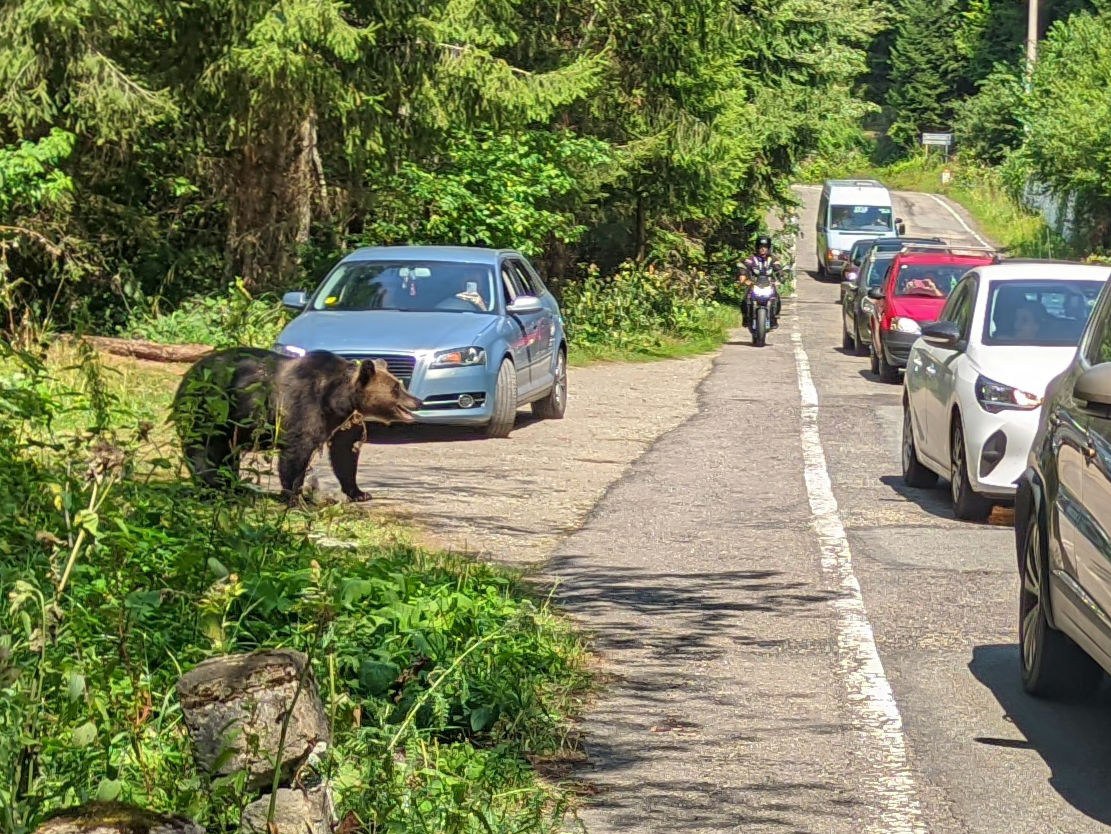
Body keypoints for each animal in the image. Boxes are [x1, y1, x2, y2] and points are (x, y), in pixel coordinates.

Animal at [173, 346, 419, 501]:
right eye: (396, 388)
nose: (416, 400)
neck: (337, 398)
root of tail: (189, 374)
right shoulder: (304, 406)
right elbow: (297, 451)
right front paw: (295, 496)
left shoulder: (342, 421)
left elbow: (345, 453)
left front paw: (359, 492)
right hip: (213, 405)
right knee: (205, 447)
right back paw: (213, 485)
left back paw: (233, 485)